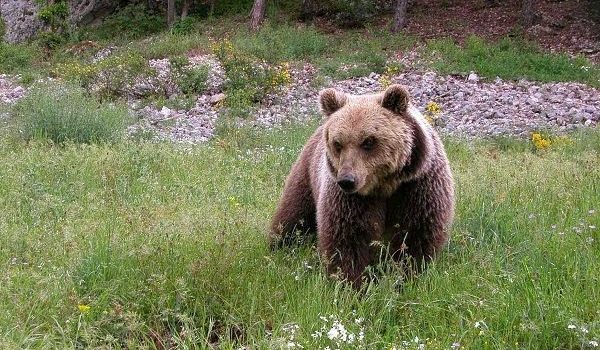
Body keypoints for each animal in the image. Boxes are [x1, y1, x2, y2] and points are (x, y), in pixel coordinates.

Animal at [268, 85, 454, 288]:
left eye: (369, 141)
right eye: (338, 143)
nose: (347, 180)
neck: (385, 185)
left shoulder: (417, 186)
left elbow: (414, 235)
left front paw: (405, 277)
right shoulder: (350, 199)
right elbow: (348, 237)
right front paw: (351, 284)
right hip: (307, 173)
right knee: (293, 214)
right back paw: (277, 243)